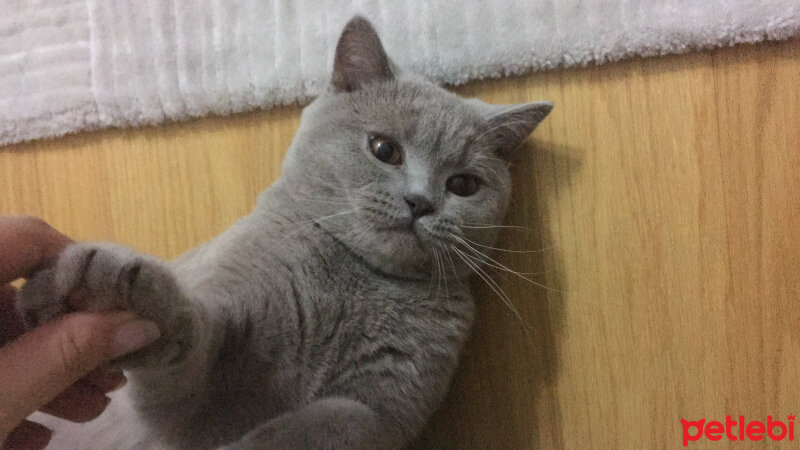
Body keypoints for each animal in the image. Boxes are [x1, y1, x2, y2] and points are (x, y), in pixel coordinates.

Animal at [18, 15, 552, 448]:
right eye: (384, 149)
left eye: (463, 185)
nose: (420, 202)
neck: (357, 279)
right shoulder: (193, 390)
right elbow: (188, 339)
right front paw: (111, 289)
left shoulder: (392, 405)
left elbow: (345, 418)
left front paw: (258, 441)